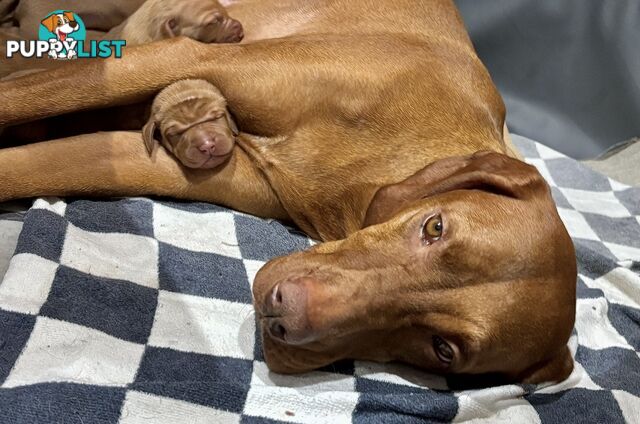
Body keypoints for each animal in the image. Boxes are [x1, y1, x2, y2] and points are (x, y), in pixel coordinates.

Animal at [0, 0, 576, 384]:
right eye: (434, 227)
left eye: (444, 350)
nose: (283, 314)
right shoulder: (191, 60)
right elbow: (26, 95)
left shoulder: (200, 158)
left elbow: (35, 167)